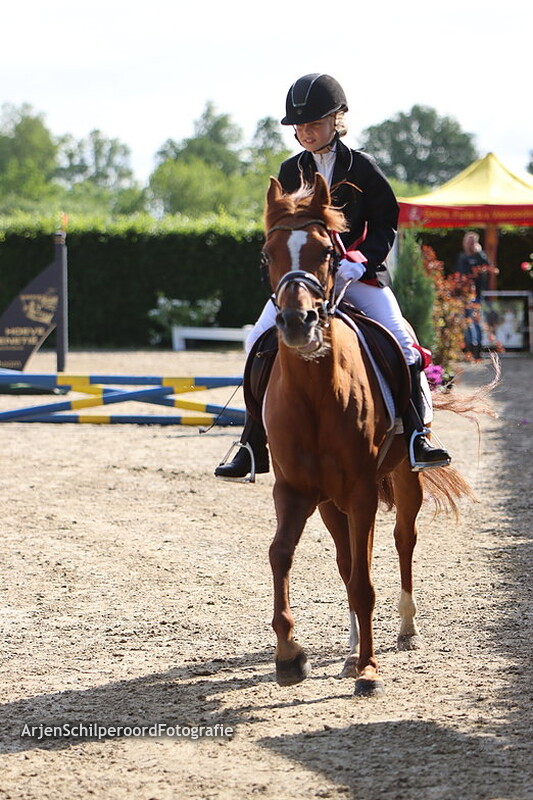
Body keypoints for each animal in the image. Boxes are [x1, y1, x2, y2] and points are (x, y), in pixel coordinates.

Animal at [260, 172, 480, 696]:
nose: (297, 324)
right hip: (331, 502)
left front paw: (368, 669)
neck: (316, 392)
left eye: (327, 251)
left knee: (402, 541)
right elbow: (283, 556)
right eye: (267, 254)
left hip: (403, 478)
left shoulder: (361, 490)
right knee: (347, 561)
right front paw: (290, 655)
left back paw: (405, 629)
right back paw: (348, 648)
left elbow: (364, 581)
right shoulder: (296, 491)